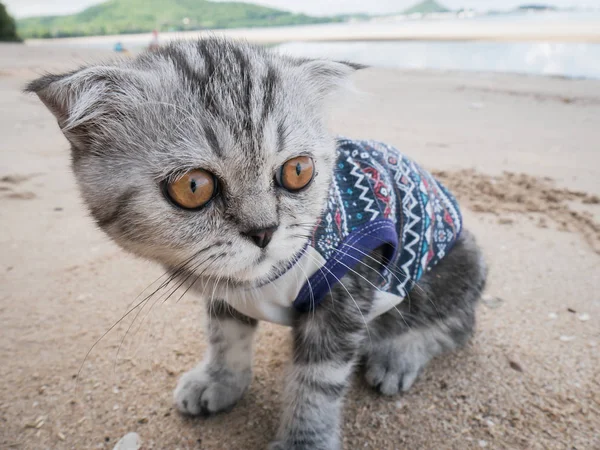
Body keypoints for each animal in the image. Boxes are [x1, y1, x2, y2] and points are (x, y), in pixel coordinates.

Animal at [28, 38, 488, 450]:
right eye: (193, 186)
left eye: (298, 170)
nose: (264, 229)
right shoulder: (223, 288)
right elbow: (224, 337)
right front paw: (221, 381)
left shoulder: (348, 285)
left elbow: (317, 380)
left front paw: (304, 441)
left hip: (455, 266)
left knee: (454, 323)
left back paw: (398, 355)